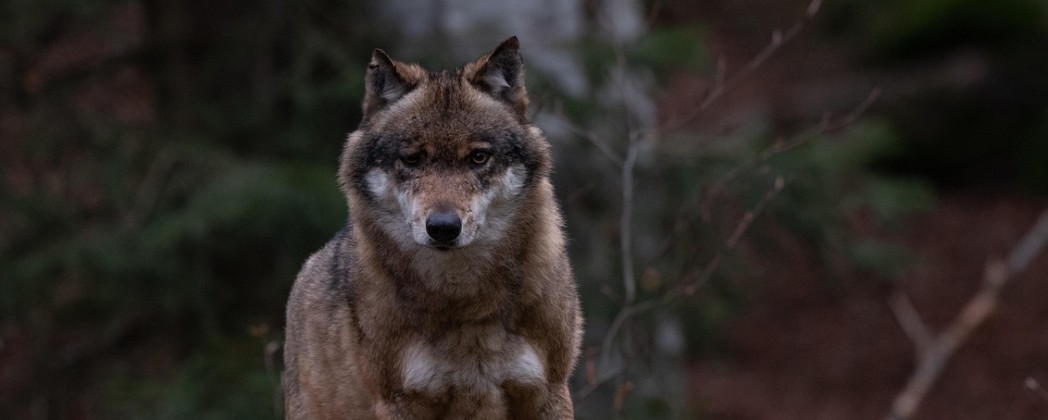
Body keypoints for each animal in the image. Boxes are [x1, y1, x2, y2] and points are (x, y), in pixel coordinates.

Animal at [282, 37, 583, 419]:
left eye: (478, 157)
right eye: (413, 159)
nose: (442, 227)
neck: (465, 301)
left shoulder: (550, 390)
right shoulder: (399, 401)